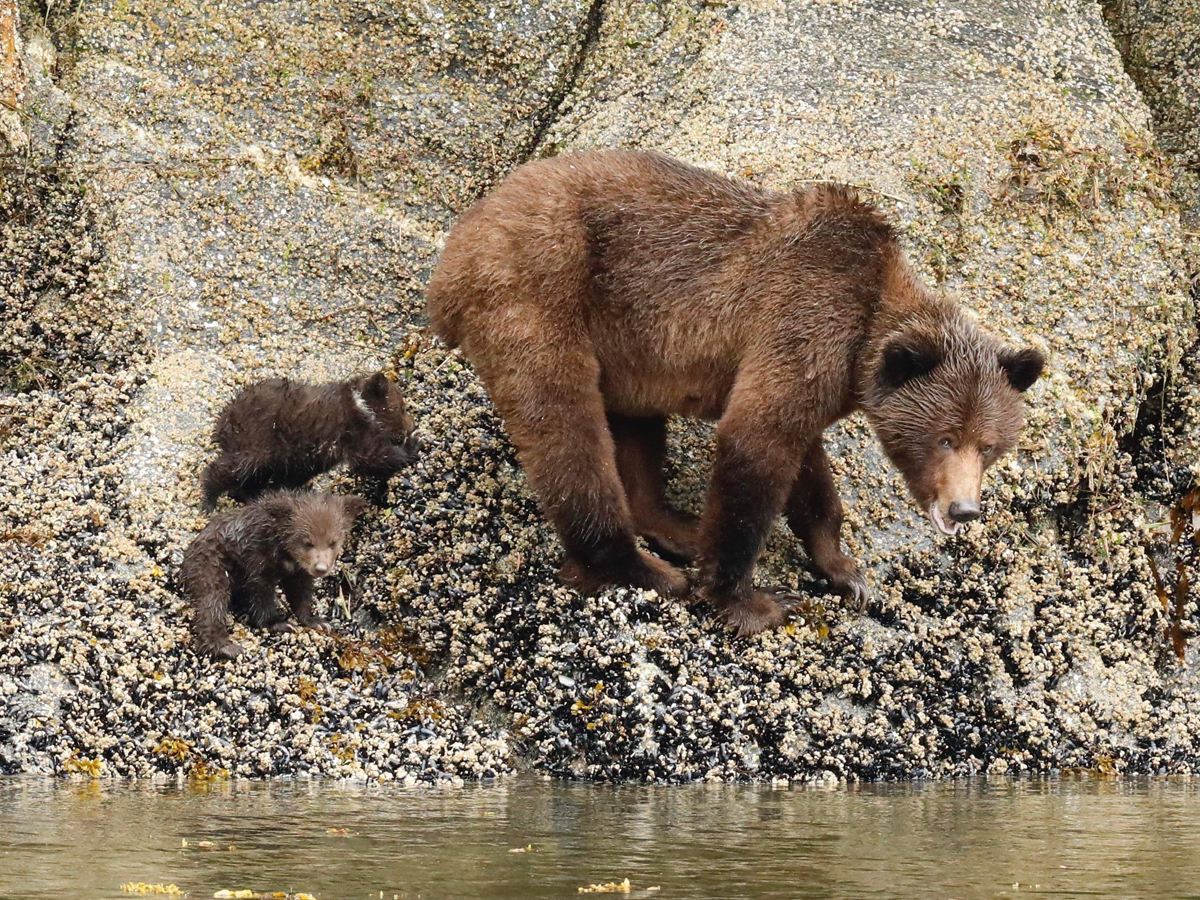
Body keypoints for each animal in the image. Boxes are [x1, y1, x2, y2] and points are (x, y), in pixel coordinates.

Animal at [427, 150, 1046, 633]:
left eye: (990, 445)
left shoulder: (814, 370)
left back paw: (675, 527)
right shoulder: (804, 316)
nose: (964, 509)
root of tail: (450, 259)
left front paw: (846, 572)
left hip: (625, 341)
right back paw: (646, 570)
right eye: (945, 438)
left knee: (633, 424)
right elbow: (755, 447)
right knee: (566, 430)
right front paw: (756, 600)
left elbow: (806, 467)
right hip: (537, 286)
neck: (865, 329)